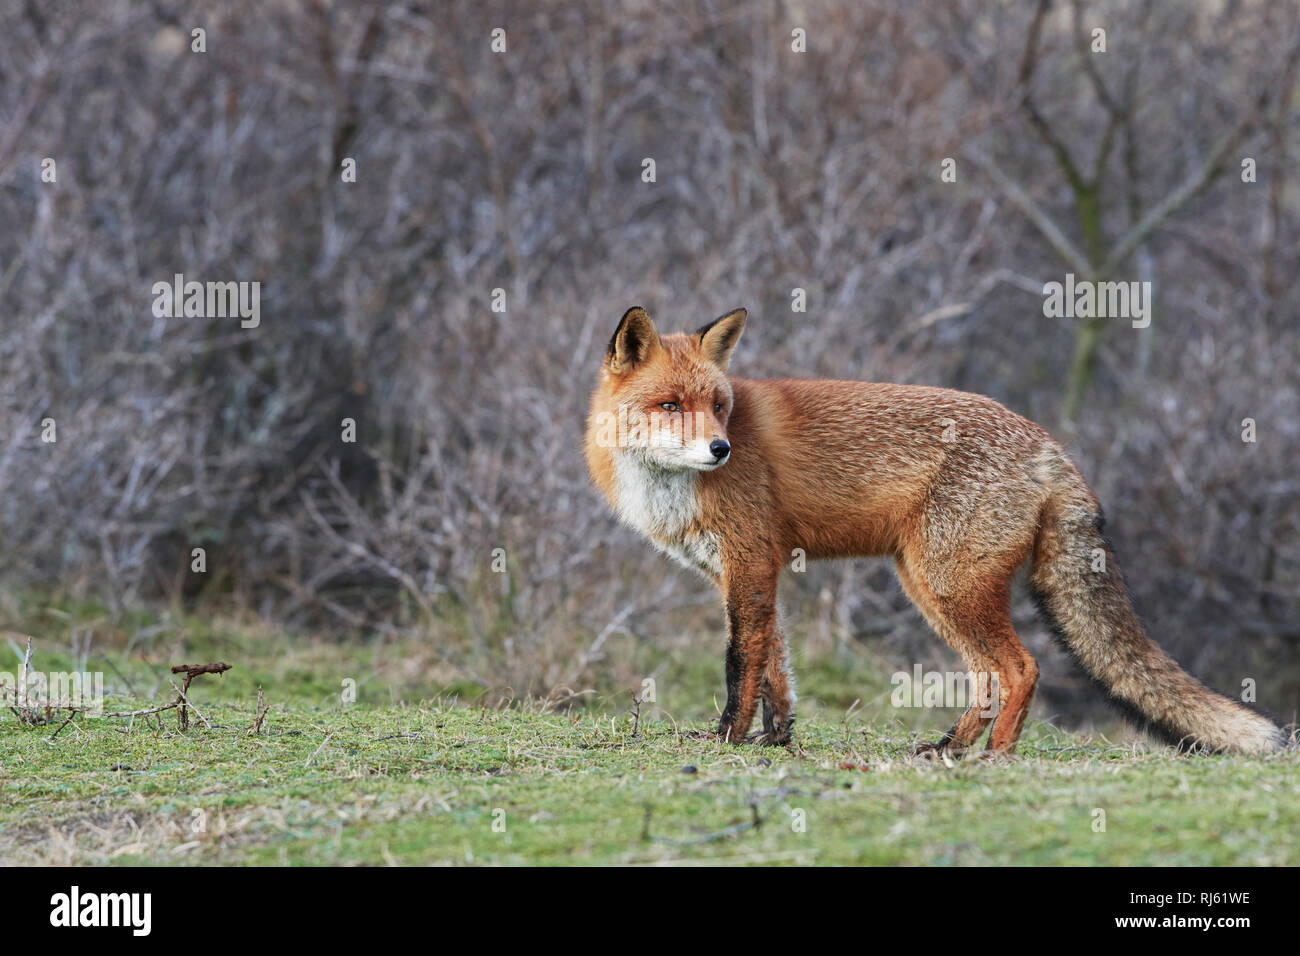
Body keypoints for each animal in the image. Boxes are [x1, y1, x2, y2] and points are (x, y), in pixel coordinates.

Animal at [583, 305, 1288, 757]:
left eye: (718, 405)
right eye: (670, 406)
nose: (721, 449)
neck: (667, 489)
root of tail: (1050, 445)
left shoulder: (750, 563)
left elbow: (741, 665)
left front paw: (726, 739)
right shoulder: (750, 573)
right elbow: (777, 667)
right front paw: (775, 740)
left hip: (947, 584)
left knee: (1022, 667)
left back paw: (994, 757)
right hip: (929, 586)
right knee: (987, 677)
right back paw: (949, 748)